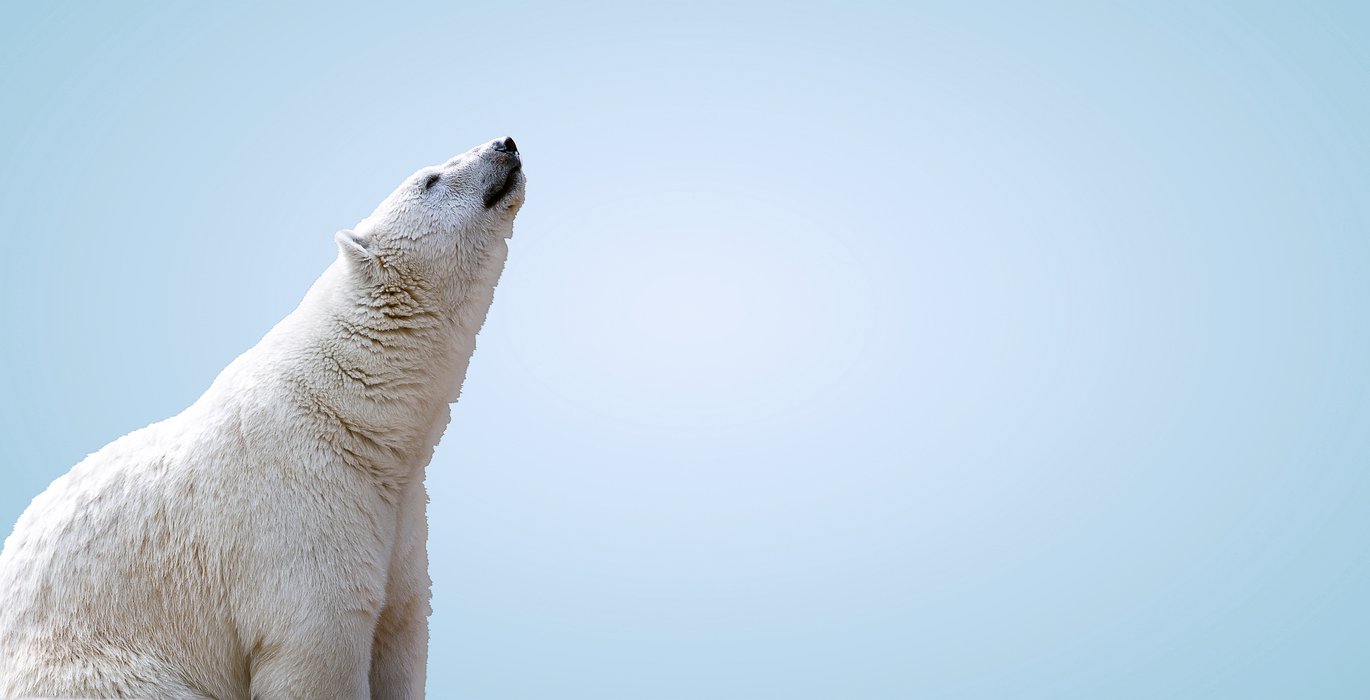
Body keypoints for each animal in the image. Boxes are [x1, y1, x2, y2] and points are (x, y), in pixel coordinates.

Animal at [0, 138, 526, 700]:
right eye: (430, 179)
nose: (505, 144)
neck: (353, 415)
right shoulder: (300, 511)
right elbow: (319, 652)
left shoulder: (401, 522)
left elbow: (400, 633)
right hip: (102, 669)